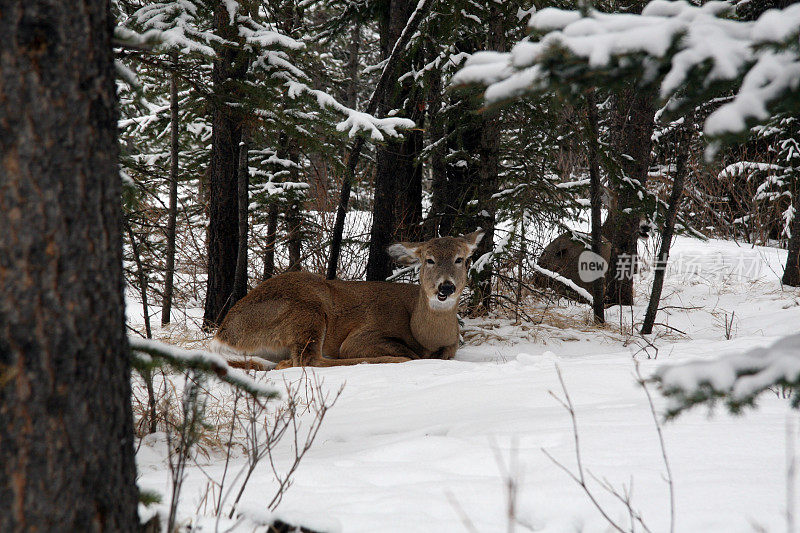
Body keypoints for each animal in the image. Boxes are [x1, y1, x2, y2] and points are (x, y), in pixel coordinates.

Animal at [208, 229, 482, 370]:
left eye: (460, 259)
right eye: (429, 260)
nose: (446, 286)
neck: (425, 335)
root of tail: (223, 333)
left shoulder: (451, 346)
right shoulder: (364, 335)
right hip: (304, 310)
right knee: (308, 360)